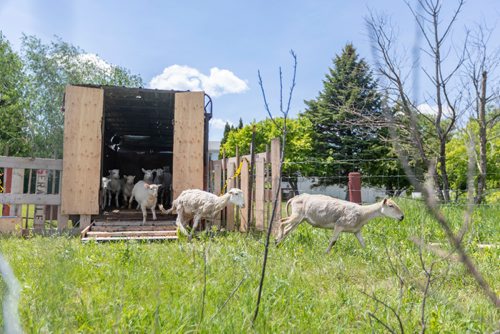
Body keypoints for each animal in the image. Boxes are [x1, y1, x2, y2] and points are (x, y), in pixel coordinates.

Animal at [276, 193, 404, 253]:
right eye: (391, 206)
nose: (402, 217)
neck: (363, 213)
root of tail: (294, 198)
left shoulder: (356, 231)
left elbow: (363, 243)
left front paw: (369, 253)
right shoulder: (339, 225)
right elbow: (333, 241)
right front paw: (325, 253)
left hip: (300, 219)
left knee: (287, 230)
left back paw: (278, 243)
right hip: (297, 215)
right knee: (282, 222)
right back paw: (276, 241)